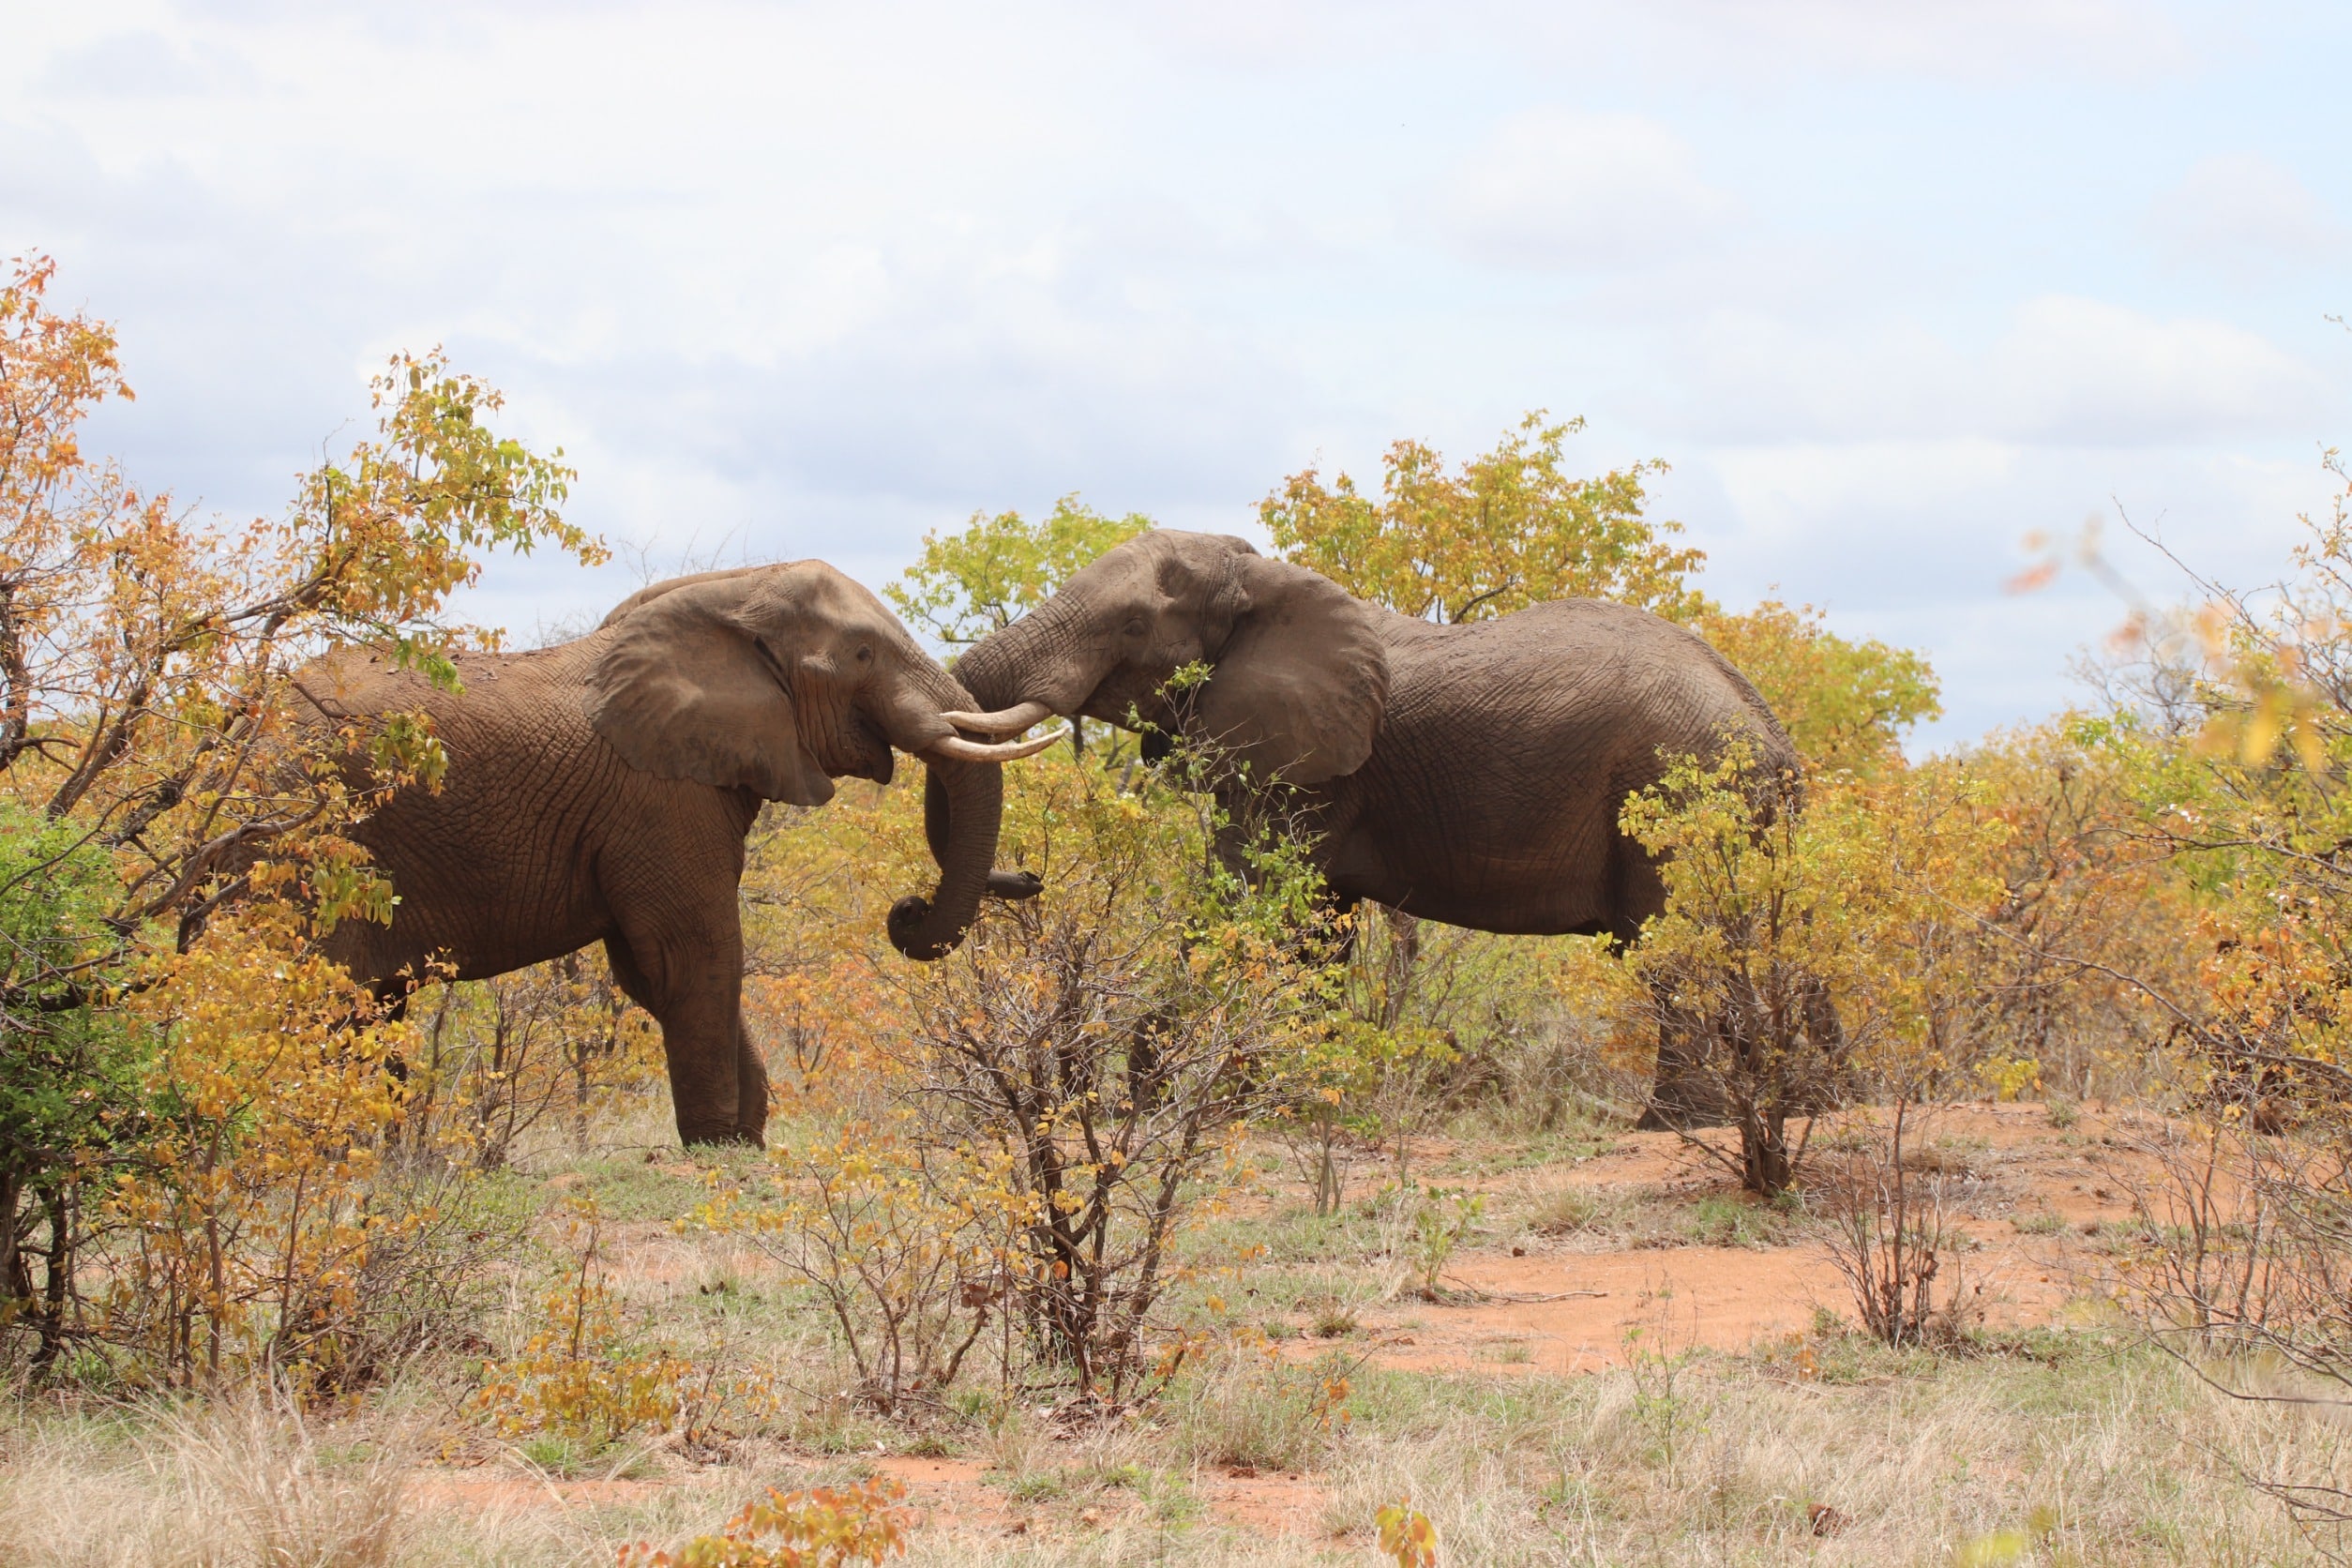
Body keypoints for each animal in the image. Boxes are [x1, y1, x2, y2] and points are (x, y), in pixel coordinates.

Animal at [291, 557, 1058, 1147]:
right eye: (864, 655)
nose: (908, 909)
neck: (734, 595)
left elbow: (653, 972)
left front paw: (746, 1138)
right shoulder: (659, 797)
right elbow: (694, 953)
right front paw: (720, 1144)